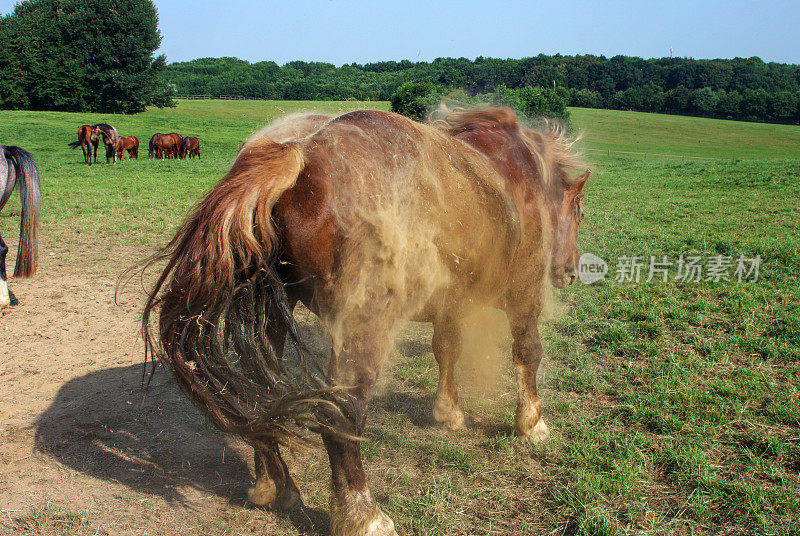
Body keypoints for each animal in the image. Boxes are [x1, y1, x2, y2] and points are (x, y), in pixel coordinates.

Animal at [141, 107, 588, 532]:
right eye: (579, 212)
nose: (569, 271)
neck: (515, 172)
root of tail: (296, 153)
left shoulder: (450, 303)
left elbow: (447, 351)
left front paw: (448, 413)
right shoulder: (524, 297)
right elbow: (528, 353)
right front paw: (532, 424)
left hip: (271, 315)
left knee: (260, 397)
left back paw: (275, 486)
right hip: (362, 326)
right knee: (341, 413)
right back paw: (362, 515)